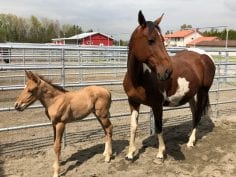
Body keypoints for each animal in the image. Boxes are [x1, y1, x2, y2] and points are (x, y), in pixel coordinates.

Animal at [123, 10, 216, 160]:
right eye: (151, 40)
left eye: (163, 40)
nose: (167, 71)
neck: (138, 78)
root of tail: (205, 55)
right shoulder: (133, 102)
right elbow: (133, 126)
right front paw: (130, 153)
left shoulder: (157, 104)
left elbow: (159, 126)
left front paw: (161, 153)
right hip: (190, 94)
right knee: (194, 112)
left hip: (203, 91)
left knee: (198, 114)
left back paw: (191, 142)